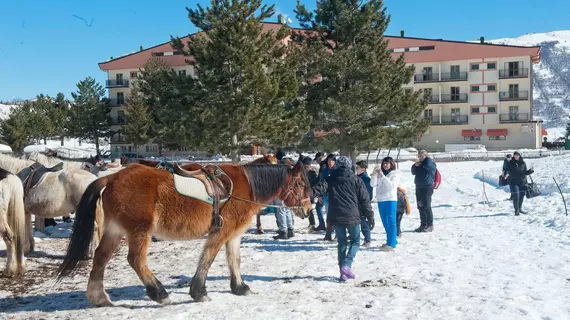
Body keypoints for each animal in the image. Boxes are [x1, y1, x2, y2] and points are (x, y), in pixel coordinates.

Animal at [56, 161, 310, 306]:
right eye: (301, 184)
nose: (308, 209)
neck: (243, 186)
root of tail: (111, 177)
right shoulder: (220, 232)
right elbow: (207, 259)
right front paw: (198, 292)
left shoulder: (234, 235)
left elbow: (234, 260)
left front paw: (240, 287)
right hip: (139, 230)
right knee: (136, 260)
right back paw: (159, 293)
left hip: (114, 230)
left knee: (101, 258)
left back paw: (98, 297)